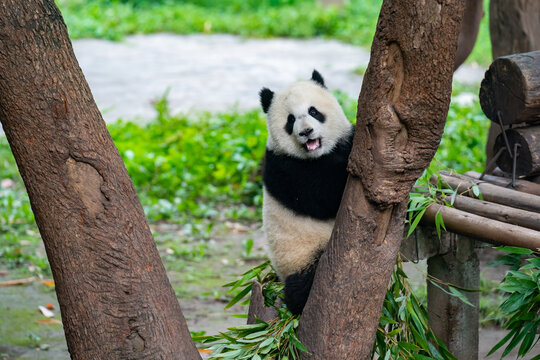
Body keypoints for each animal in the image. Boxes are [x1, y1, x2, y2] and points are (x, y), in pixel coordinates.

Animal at [260, 70, 354, 316]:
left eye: (313, 111)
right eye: (290, 120)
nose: (306, 132)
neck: (316, 156)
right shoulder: (285, 168)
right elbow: (323, 196)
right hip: (301, 257)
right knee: (304, 285)